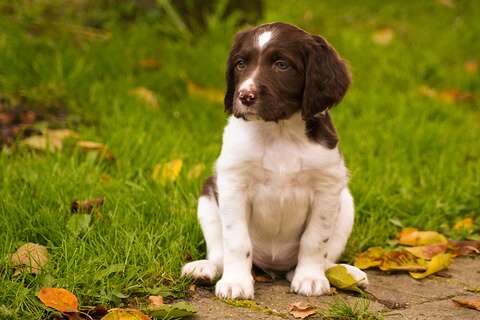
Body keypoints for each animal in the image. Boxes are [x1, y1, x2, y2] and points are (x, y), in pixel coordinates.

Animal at [181, 21, 368, 298]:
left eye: (282, 65)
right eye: (240, 64)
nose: (245, 96)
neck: (279, 133)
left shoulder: (326, 187)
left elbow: (314, 240)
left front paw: (310, 277)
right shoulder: (233, 184)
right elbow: (236, 240)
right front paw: (236, 282)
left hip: (346, 203)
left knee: (326, 258)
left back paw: (345, 274)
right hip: (207, 199)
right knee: (219, 253)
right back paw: (205, 269)